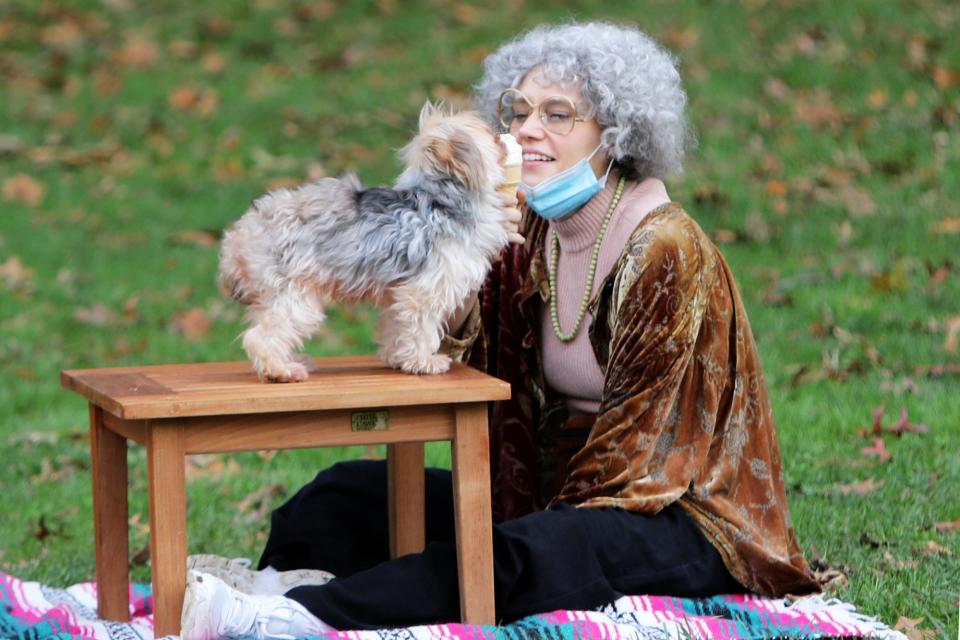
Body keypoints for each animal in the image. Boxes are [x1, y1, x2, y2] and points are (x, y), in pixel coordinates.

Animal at [218, 101, 510, 380]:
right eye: (488, 134)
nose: (499, 132)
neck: (439, 201)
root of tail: (241, 234)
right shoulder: (422, 293)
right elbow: (421, 329)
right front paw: (422, 361)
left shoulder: (398, 293)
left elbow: (396, 325)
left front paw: (399, 357)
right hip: (295, 296)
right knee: (260, 338)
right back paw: (281, 370)